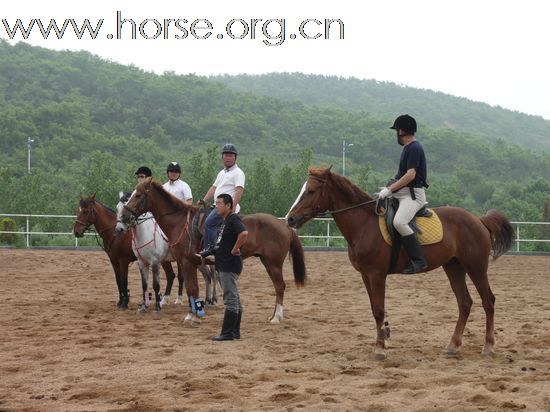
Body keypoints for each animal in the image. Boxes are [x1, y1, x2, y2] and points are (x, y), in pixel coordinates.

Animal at [121, 179, 308, 324]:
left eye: (138, 195)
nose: (123, 216)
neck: (180, 222)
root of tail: (284, 225)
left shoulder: (187, 262)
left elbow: (192, 287)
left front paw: (192, 316)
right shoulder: (185, 262)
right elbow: (190, 288)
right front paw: (194, 313)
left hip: (273, 263)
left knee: (280, 286)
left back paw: (277, 317)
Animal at [286, 166, 516, 358]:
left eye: (311, 191)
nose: (290, 219)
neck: (364, 224)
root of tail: (478, 220)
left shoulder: (377, 274)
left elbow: (379, 310)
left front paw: (380, 349)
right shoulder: (365, 275)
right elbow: (374, 308)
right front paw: (383, 340)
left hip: (476, 268)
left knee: (488, 301)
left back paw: (488, 347)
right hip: (453, 267)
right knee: (465, 303)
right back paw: (453, 345)